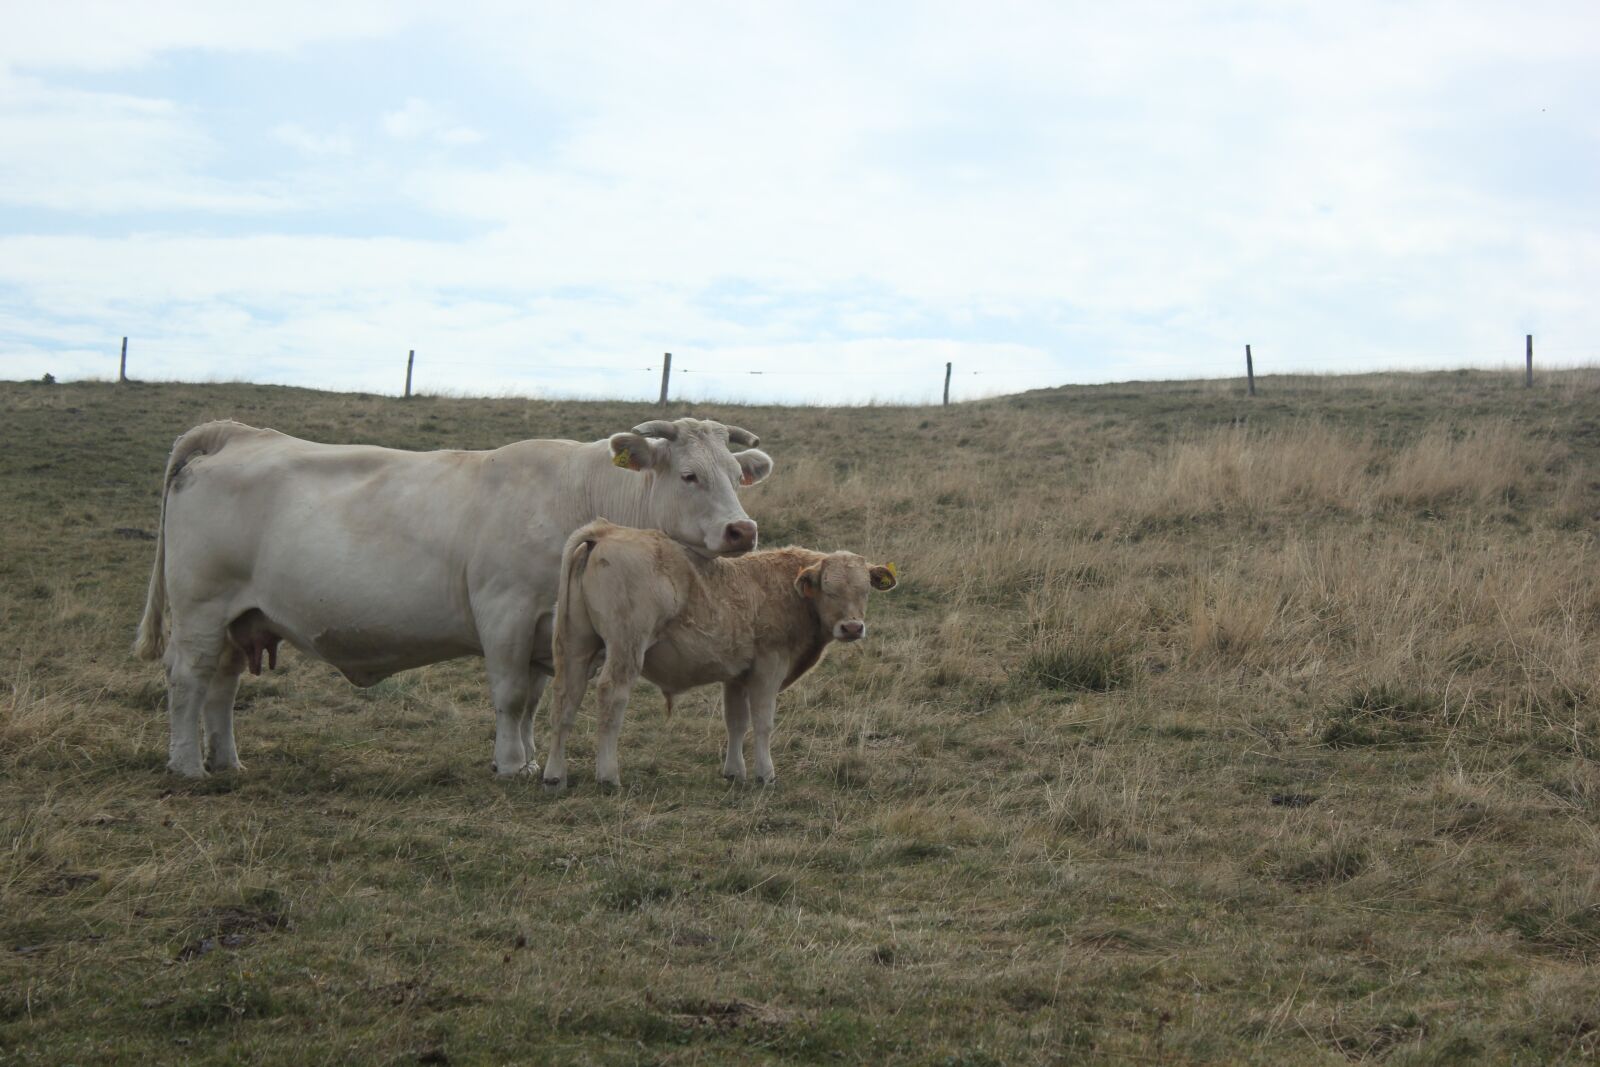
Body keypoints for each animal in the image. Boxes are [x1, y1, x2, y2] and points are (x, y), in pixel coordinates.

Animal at [132, 417, 773, 779]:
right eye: (689, 475)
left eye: (737, 474)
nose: (742, 531)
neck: (578, 492)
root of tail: (237, 436)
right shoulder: (506, 613)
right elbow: (511, 697)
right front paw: (511, 765)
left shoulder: (546, 629)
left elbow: (533, 701)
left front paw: (529, 758)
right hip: (201, 610)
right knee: (188, 680)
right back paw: (187, 766)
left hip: (240, 618)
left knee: (222, 686)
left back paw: (226, 762)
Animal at [540, 518, 897, 791]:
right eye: (829, 589)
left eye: (864, 590)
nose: (852, 627)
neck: (787, 591)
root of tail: (605, 531)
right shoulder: (769, 667)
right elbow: (763, 722)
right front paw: (765, 774)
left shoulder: (737, 677)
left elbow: (736, 722)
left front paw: (734, 771)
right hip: (626, 646)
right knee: (611, 697)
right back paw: (608, 775)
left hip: (577, 647)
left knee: (565, 700)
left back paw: (555, 774)